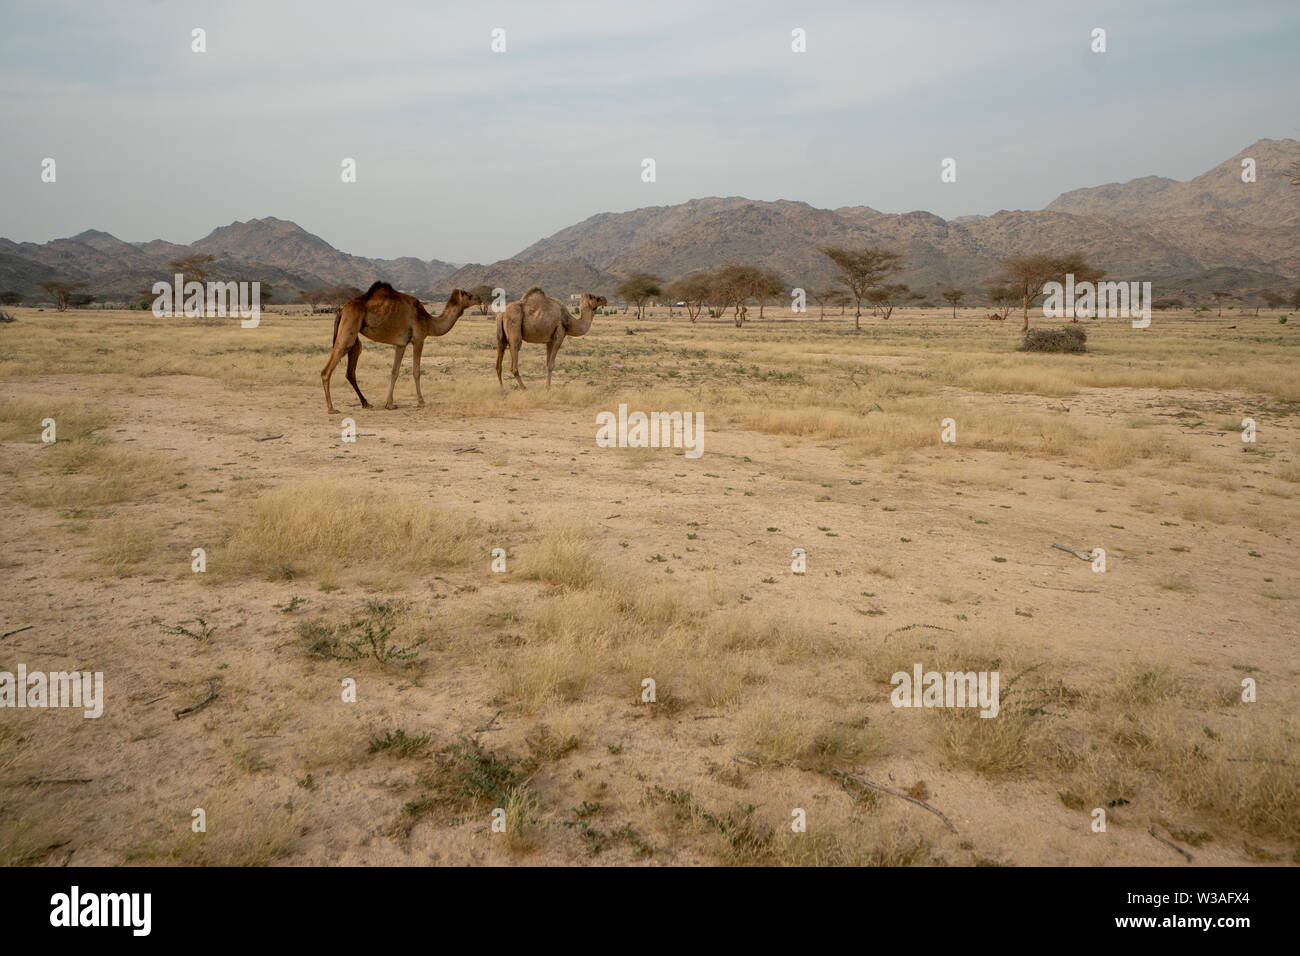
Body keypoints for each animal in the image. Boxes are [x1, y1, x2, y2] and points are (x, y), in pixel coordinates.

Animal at [321, 282, 480, 413]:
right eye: (469, 295)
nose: (479, 298)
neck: (429, 322)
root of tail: (342, 310)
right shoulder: (419, 339)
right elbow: (416, 371)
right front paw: (421, 401)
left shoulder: (401, 344)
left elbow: (394, 372)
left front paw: (389, 404)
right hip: (349, 327)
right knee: (329, 366)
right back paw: (331, 408)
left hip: (354, 336)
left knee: (352, 367)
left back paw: (366, 403)